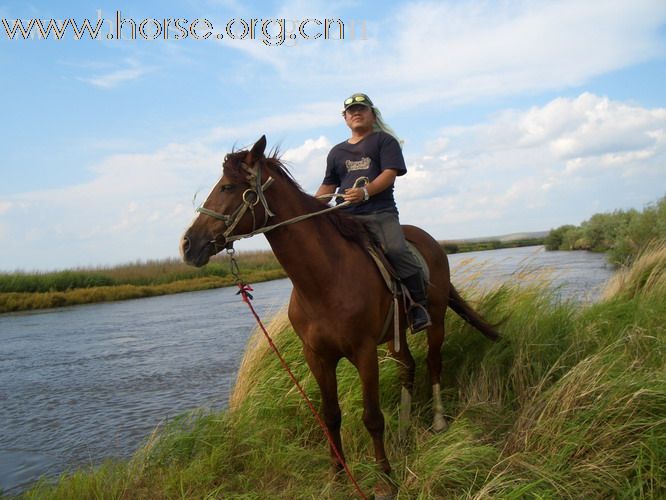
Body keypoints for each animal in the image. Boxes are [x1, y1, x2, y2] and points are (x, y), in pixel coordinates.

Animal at [179, 135, 496, 494]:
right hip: (396, 335)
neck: (324, 280)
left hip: (436, 321)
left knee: (433, 363)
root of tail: (432, 243)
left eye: (228, 187)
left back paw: (439, 421)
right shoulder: (317, 356)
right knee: (408, 367)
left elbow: (372, 417)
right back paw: (404, 431)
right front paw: (338, 476)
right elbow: (330, 415)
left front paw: (385, 479)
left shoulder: (364, 352)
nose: (188, 245)